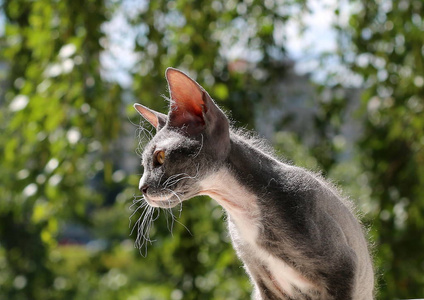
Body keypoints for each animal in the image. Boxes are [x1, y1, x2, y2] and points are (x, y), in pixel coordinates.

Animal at [133, 68, 374, 300]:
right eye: (144, 164)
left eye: (160, 157)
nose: (142, 188)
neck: (243, 208)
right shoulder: (265, 284)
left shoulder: (343, 270)